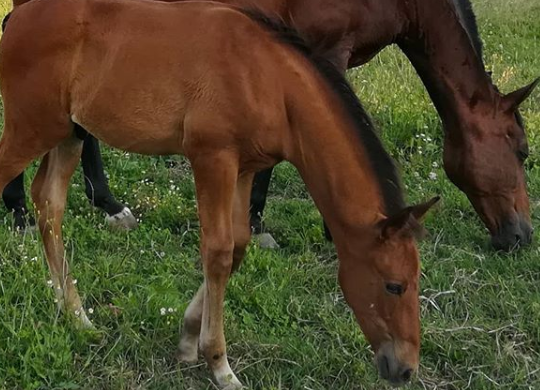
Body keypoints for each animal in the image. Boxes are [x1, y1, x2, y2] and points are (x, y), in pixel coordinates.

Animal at [0, 0, 438, 386]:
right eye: (394, 285)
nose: (406, 369)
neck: (269, 80)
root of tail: (17, 18)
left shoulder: (244, 168)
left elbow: (239, 245)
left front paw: (187, 337)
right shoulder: (213, 159)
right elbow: (218, 251)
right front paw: (219, 364)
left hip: (68, 134)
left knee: (49, 203)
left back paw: (76, 316)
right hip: (31, 129)